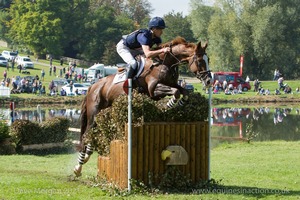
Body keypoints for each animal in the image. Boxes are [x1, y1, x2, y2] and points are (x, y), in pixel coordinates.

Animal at [74, 36, 212, 176]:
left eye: (208, 60)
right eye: (200, 60)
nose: (208, 81)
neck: (165, 62)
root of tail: (92, 87)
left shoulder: (171, 84)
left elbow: (184, 92)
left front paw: (180, 104)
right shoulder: (153, 89)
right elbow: (176, 92)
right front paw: (167, 106)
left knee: (92, 134)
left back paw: (86, 156)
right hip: (93, 114)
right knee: (86, 134)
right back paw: (78, 167)